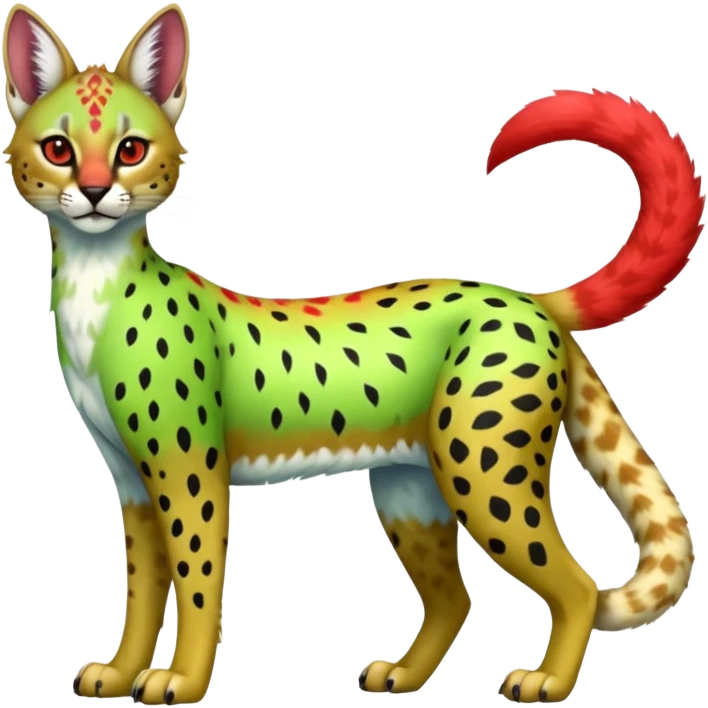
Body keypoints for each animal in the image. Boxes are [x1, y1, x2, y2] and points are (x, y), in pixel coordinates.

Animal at [2, 3, 702, 704]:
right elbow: (143, 589)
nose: (95, 191)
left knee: (577, 585)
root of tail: (525, 296)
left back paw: (548, 681)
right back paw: (405, 674)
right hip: (410, 486)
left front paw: (183, 680)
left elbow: (198, 584)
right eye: (59, 149)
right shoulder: (132, 480)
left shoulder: (190, 471)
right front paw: (120, 672)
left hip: (482, 470)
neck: (96, 285)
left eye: (131, 150)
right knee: (455, 598)